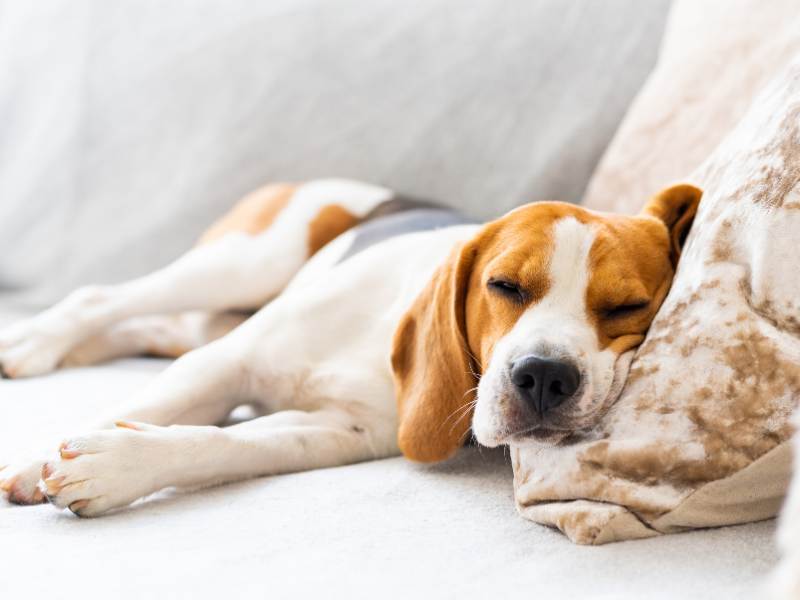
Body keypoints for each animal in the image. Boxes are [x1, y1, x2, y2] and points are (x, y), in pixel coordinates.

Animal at [0, 178, 700, 516]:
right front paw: (39, 459)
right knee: (99, 297)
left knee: (141, 328)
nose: (545, 377)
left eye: (627, 308)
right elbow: (153, 405)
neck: (381, 338)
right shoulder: (225, 363)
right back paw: (33, 343)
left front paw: (117, 464)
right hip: (244, 262)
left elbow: (224, 443)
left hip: (210, 312)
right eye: (504, 285)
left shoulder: (341, 431)